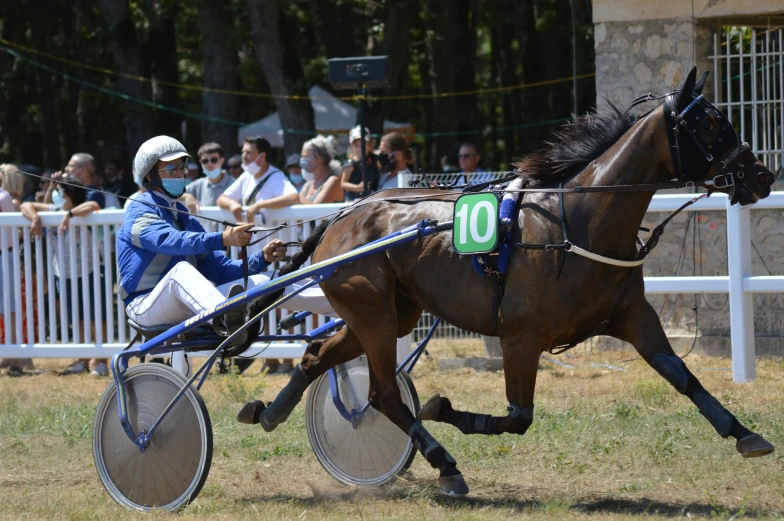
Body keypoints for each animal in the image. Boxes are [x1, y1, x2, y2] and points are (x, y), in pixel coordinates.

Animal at [237, 67, 772, 494]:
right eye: (709, 124)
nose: (763, 176)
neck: (577, 221)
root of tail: (342, 217)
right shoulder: (521, 336)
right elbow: (518, 417)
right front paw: (442, 408)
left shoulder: (631, 315)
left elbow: (681, 374)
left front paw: (744, 433)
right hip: (373, 314)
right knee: (383, 394)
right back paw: (445, 465)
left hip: (390, 312)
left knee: (316, 355)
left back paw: (270, 412)